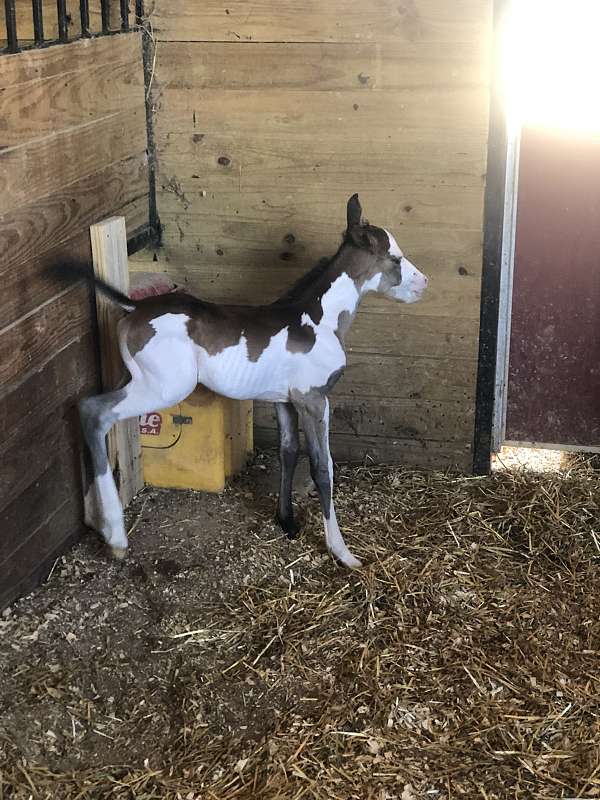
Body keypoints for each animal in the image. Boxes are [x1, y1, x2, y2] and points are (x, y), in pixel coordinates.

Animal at [69, 194, 428, 569]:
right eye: (394, 258)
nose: (424, 283)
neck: (320, 320)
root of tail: (134, 307)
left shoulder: (285, 400)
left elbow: (289, 451)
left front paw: (287, 521)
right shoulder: (314, 400)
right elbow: (322, 467)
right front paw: (342, 552)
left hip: (135, 378)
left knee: (86, 411)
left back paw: (96, 519)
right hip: (165, 388)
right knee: (95, 411)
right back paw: (115, 536)